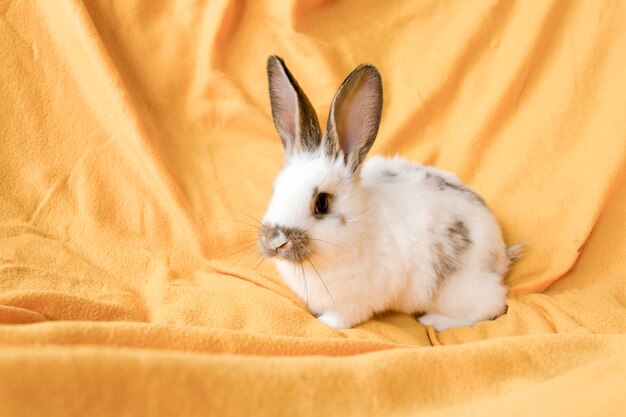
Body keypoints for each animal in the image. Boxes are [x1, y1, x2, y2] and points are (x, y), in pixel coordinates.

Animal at [256, 55, 520, 330]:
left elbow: (339, 319)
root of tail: (500, 253)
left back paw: (436, 321)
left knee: (493, 305)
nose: (274, 241)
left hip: (460, 289)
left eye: (321, 203)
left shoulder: (353, 304)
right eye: (276, 189)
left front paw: (324, 322)